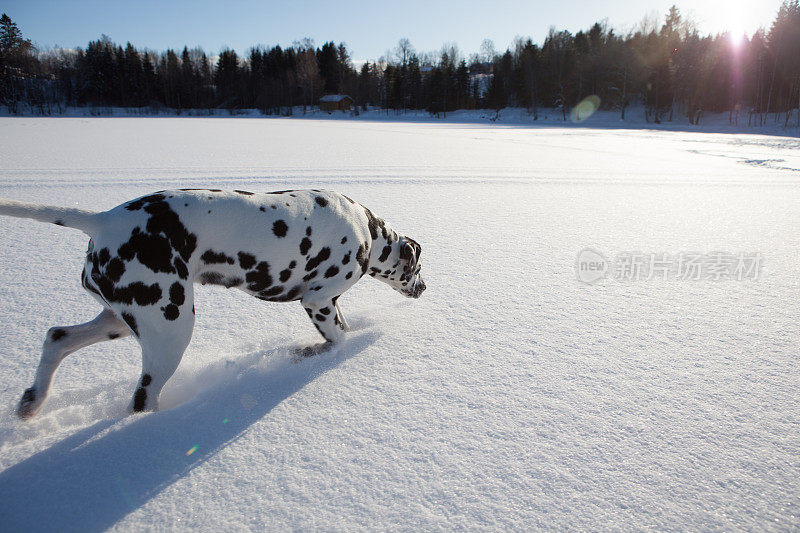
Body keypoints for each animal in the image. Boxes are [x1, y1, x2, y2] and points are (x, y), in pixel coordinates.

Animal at [0, 189, 424, 418]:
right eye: (419, 267)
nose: (424, 288)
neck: (367, 232)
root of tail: (103, 220)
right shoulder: (318, 300)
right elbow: (338, 340)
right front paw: (313, 353)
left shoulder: (328, 303)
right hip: (170, 330)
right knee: (141, 398)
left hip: (119, 318)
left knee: (56, 338)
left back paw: (31, 403)